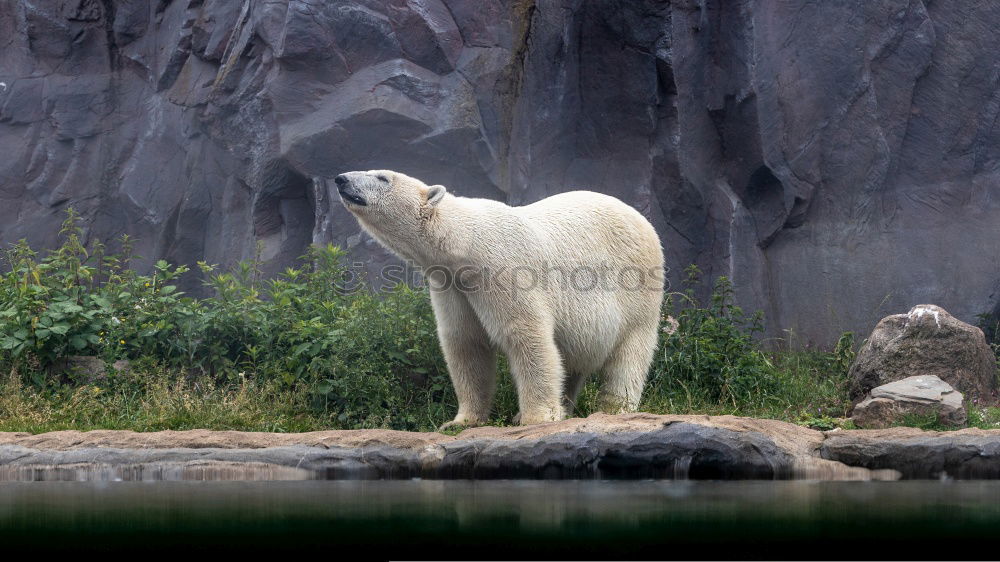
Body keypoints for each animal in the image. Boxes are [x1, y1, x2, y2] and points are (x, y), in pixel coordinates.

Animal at [336, 168, 664, 426]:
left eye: (382, 177)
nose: (341, 179)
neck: (465, 241)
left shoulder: (504, 268)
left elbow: (526, 334)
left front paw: (536, 417)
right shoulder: (452, 285)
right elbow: (466, 343)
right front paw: (462, 420)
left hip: (636, 287)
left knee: (630, 353)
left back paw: (613, 408)